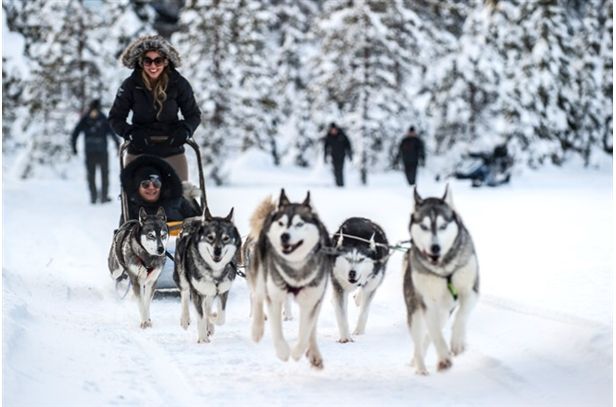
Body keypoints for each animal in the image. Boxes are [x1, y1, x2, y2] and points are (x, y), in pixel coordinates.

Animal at [174, 207, 242, 344]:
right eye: (210, 237)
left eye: (226, 238)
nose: (217, 251)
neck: (214, 271)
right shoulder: (196, 292)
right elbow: (200, 316)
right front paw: (202, 338)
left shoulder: (223, 291)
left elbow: (220, 317)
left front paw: (212, 318)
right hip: (182, 276)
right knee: (185, 295)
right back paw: (185, 319)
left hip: (210, 291)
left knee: (207, 305)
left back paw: (209, 325)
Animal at [245, 190, 332, 370]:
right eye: (281, 223)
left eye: (299, 224)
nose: (284, 236)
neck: (296, 266)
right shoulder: (275, 296)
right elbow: (276, 328)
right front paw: (283, 352)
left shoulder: (311, 301)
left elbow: (305, 332)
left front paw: (298, 352)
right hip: (261, 275)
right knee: (257, 297)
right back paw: (257, 330)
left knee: (312, 329)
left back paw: (314, 354)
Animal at [404, 186, 482, 374]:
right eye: (424, 226)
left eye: (443, 226)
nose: (435, 247)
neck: (444, 269)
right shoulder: (427, 303)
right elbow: (435, 334)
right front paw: (444, 358)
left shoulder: (471, 291)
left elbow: (462, 314)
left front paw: (457, 342)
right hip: (416, 312)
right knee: (420, 340)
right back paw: (420, 367)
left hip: (445, 312)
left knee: (428, 336)